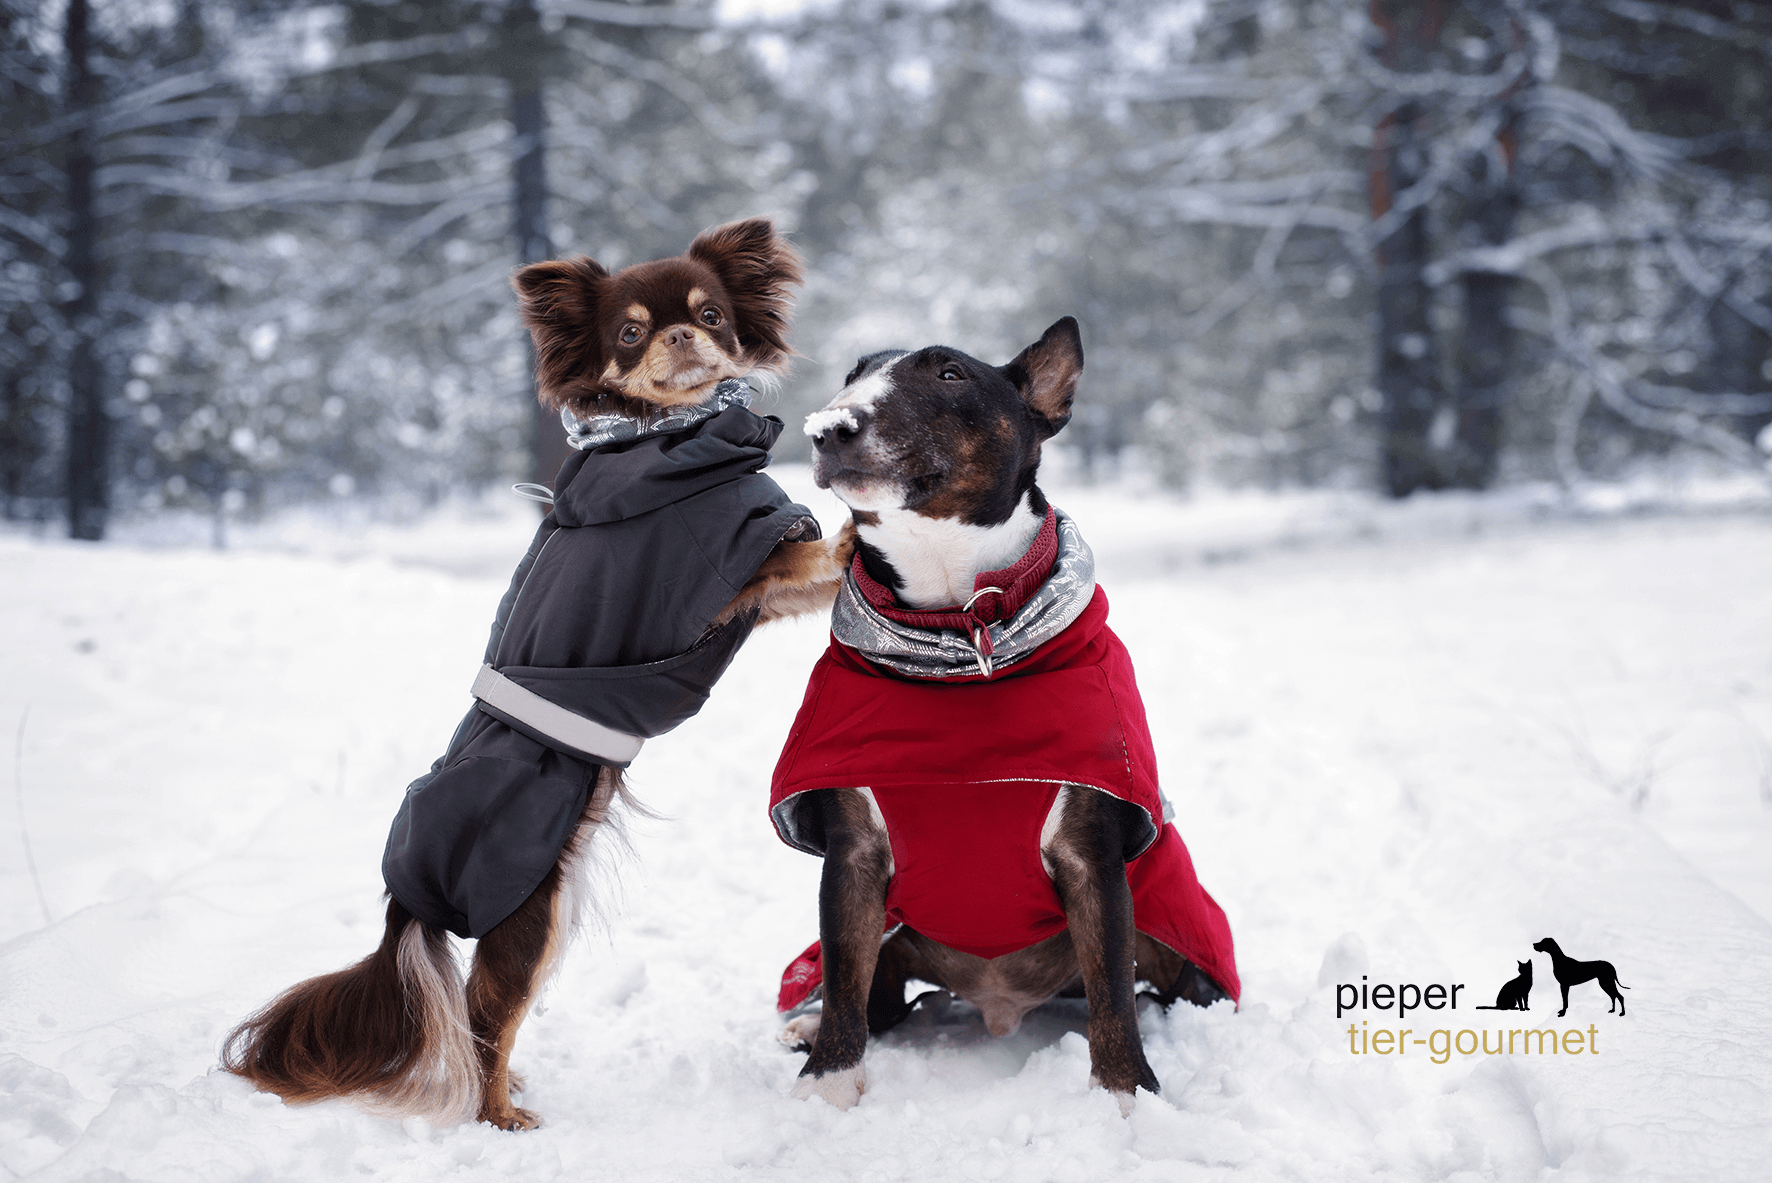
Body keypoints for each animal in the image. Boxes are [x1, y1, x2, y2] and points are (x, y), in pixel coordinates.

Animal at [217, 216, 854, 1133]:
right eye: (630, 335)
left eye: (712, 314)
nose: (680, 335)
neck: (661, 440)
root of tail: (403, 904)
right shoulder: (744, 564)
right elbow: (822, 550)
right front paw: (867, 527)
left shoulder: (758, 595)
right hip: (532, 916)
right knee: (485, 1023)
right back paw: (501, 1113)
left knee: (479, 1021)